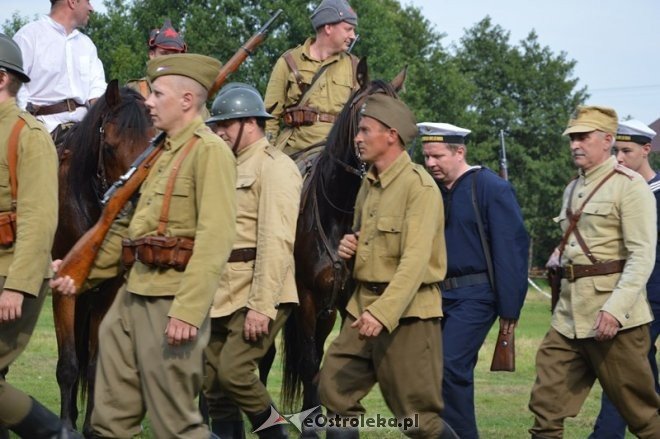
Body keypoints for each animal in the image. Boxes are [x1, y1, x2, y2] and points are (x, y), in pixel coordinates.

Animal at [51, 81, 153, 436]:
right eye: (108, 147)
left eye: (153, 140)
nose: (135, 202)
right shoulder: (63, 289)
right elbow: (68, 363)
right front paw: (64, 428)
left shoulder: (106, 293)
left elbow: (95, 364)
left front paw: (92, 428)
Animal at [278, 59, 408, 436]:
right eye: (365, 111)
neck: (336, 211)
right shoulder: (305, 299)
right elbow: (309, 363)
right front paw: (310, 425)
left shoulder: (344, 301)